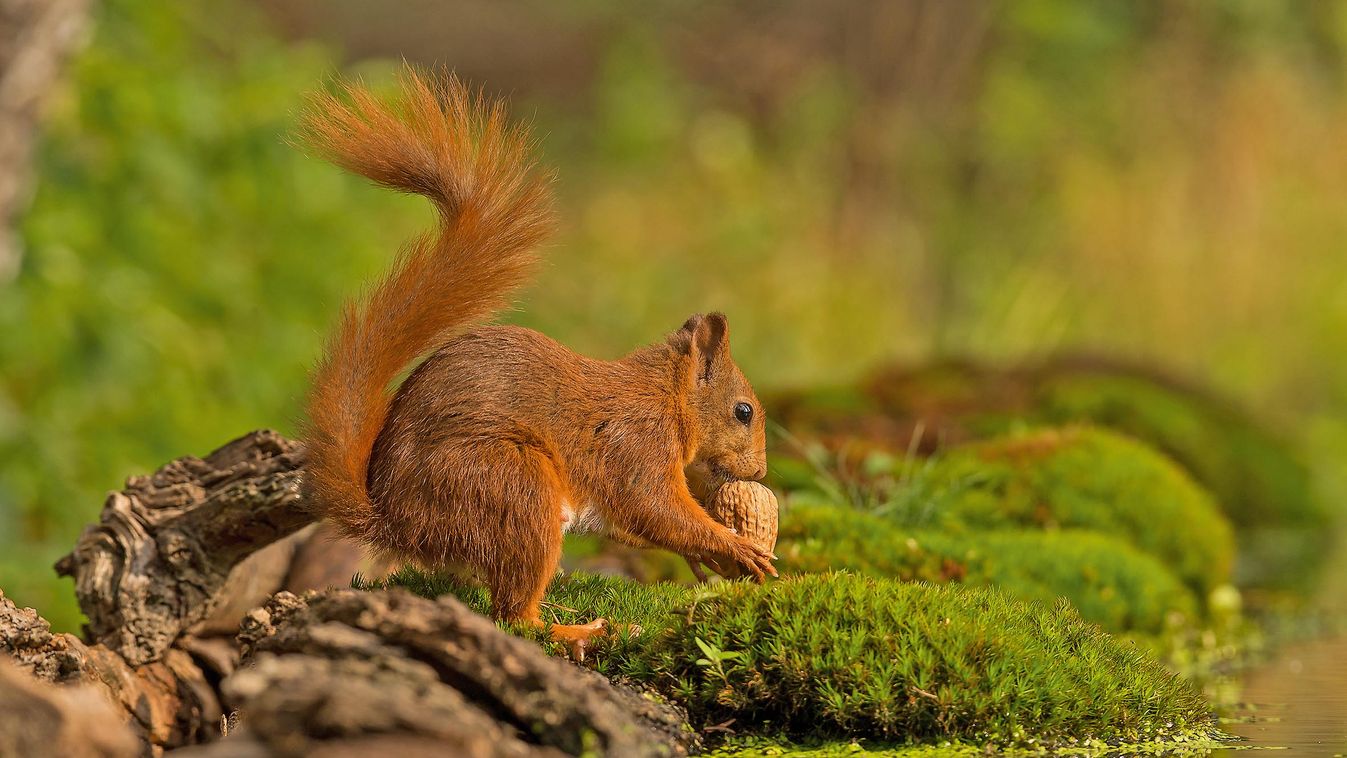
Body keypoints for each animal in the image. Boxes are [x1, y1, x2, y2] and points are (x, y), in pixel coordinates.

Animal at [299, 69, 775, 646]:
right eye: (743, 411)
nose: (762, 469)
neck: (665, 396)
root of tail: (396, 520)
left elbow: (638, 527)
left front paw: (707, 563)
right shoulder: (635, 445)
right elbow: (655, 509)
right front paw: (735, 546)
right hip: (511, 486)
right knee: (513, 615)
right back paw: (577, 630)